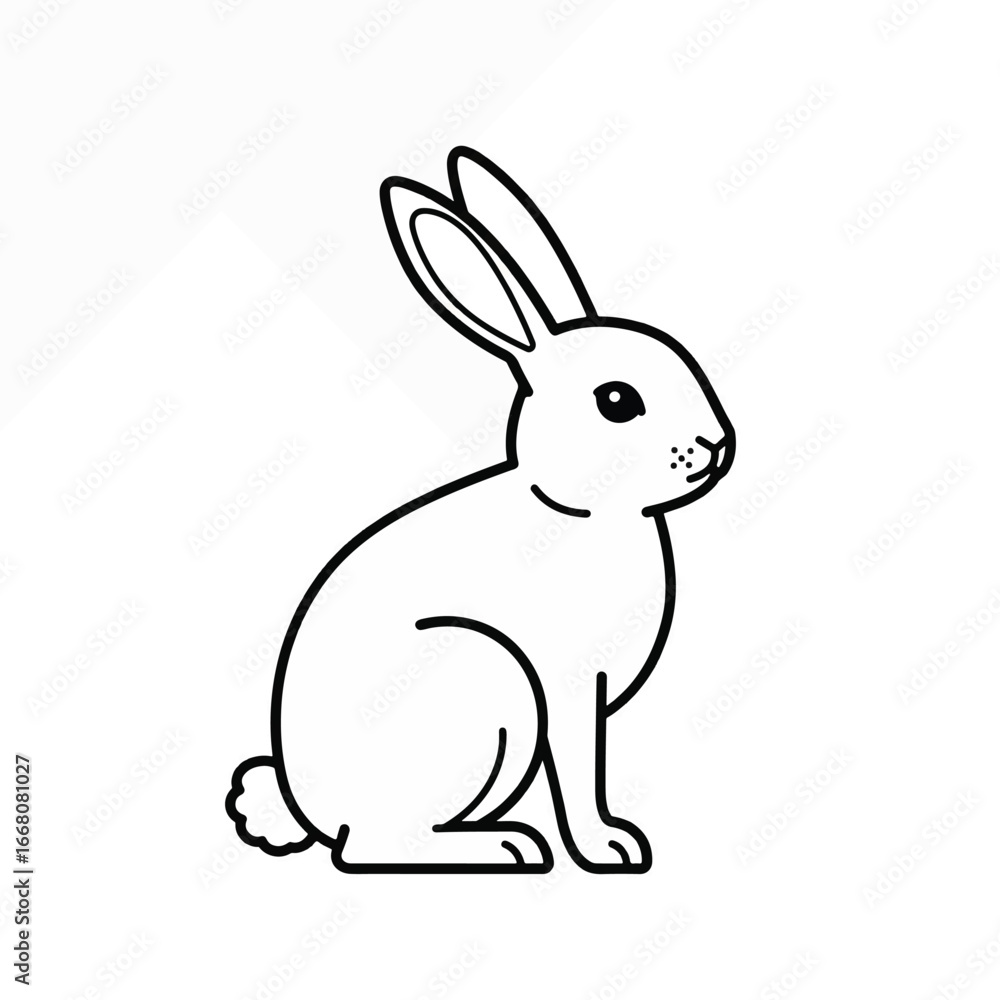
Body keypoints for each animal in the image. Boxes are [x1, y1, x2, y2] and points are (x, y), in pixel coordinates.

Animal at [227, 146, 735, 873]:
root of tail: (308, 808)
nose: (716, 447)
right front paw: (609, 847)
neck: (577, 510)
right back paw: (506, 846)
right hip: (491, 684)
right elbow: (578, 771)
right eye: (617, 401)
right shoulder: (568, 689)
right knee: (377, 846)